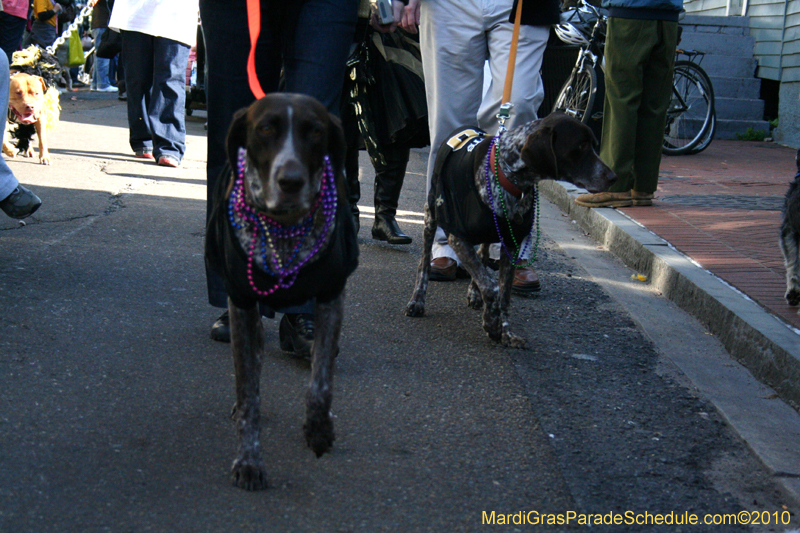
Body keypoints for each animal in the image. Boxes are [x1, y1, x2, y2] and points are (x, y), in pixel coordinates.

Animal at [205, 92, 358, 490]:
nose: (290, 180)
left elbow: (320, 380)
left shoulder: (331, 297)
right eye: (265, 129)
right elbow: (249, 393)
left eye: (315, 131)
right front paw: (248, 460)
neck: (285, 228)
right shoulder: (242, 303)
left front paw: (318, 430)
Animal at [406, 112, 620, 348]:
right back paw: (417, 300)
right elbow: (491, 286)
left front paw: (505, 331)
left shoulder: (510, 244)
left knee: (481, 256)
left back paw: (474, 293)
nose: (613, 177)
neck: (508, 177)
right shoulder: (458, 238)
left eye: (594, 145)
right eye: (580, 146)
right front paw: (492, 324)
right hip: (432, 215)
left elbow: (504, 293)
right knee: (424, 263)